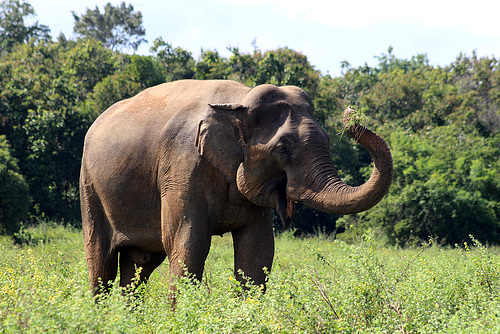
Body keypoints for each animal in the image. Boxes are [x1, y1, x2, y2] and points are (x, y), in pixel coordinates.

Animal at [80, 79, 392, 294]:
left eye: (328, 139)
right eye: (283, 148)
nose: (351, 113)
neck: (238, 101)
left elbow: (258, 250)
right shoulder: (182, 166)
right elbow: (188, 244)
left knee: (139, 267)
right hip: (89, 186)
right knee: (100, 262)